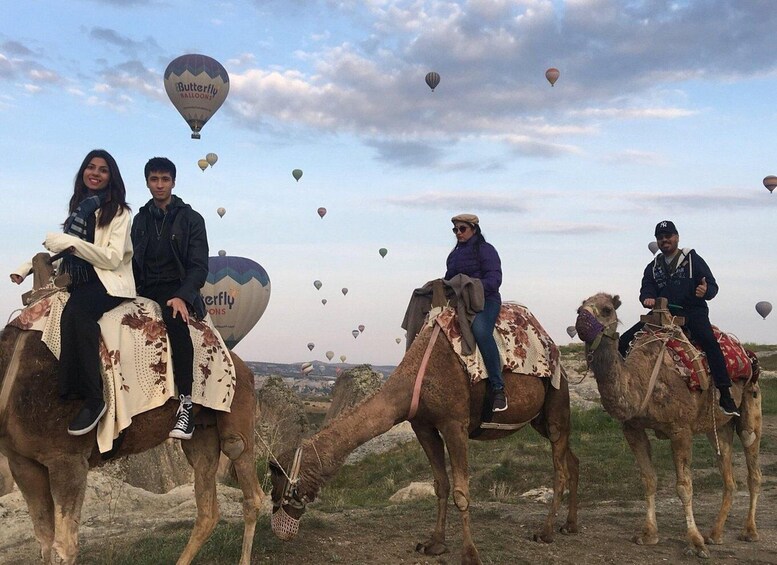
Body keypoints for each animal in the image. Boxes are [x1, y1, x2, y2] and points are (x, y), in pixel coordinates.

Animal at [0, 324, 262, 560]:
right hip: (201, 431)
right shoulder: (22, 463)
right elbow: (44, 542)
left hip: (235, 406)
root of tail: (244, 366)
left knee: (244, 472)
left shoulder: (67, 458)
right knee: (207, 502)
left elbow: (64, 548)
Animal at [270, 308, 580, 564]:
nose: (275, 515)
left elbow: (461, 492)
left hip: (556, 403)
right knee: (572, 461)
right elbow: (440, 485)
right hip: (540, 419)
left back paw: (546, 532)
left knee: (560, 469)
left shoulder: (454, 424)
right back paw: (570, 525)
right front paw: (434, 544)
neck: (415, 378)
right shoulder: (423, 426)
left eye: (277, 474)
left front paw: (470, 555)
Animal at [572, 294, 760, 556]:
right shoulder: (632, 429)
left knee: (753, 468)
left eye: (607, 309)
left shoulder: (680, 429)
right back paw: (715, 534)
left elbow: (684, 486)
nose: (581, 321)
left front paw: (695, 542)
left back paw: (749, 532)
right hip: (720, 427)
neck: (642, 381)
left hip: (750, 405)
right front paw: (648, 534)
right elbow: (648, 479)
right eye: (579, 308)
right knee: (728, 476)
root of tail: (747, 354)